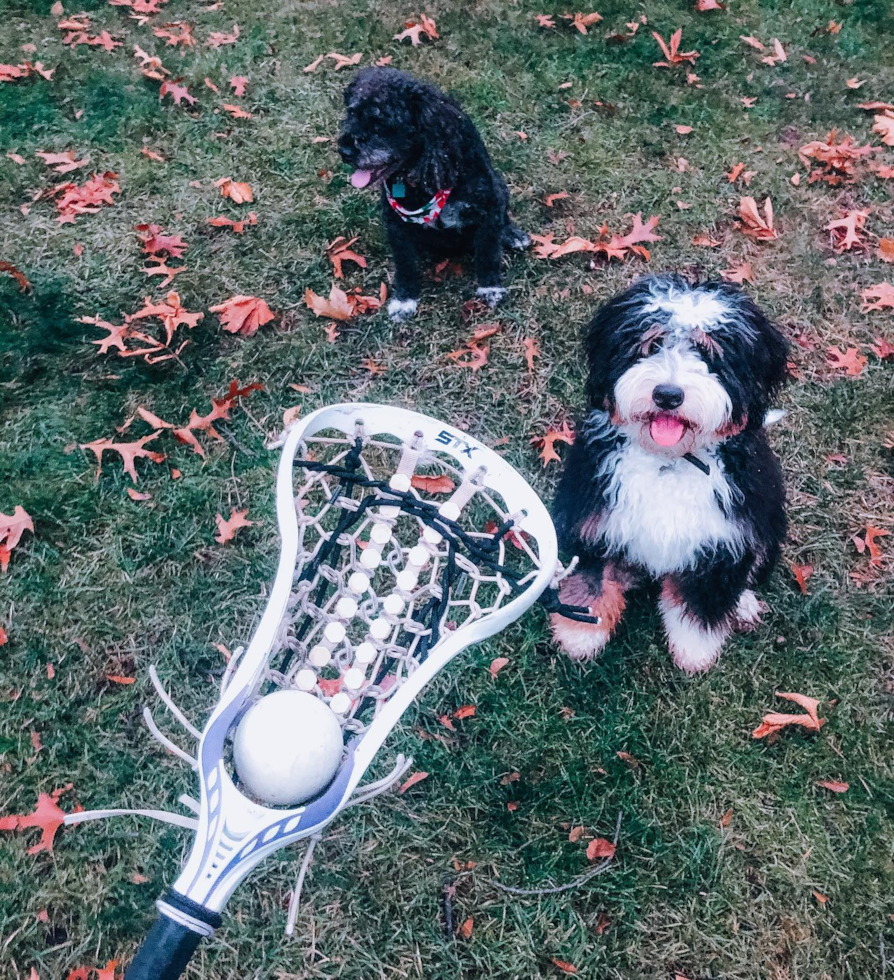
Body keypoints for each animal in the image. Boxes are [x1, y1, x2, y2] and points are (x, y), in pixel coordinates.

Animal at [340, 69, 528, 322]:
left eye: (381, 121)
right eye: (352, 112)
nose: (344, 151)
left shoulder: (488, 206)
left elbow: (488, 252)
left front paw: (490, 287)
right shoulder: (396, 223)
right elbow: (406, 264)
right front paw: (404, 300)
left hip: (500, 184)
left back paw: (512, 234)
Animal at [552, 276, 792, 672]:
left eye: (708, 353)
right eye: (651, 344)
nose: (667, 395)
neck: (669, 460)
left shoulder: (722, 542)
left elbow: (701, 605)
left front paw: (694, 653)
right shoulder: (592, 520)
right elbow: (591, 580)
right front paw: (581, 634)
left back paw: (742, 604)